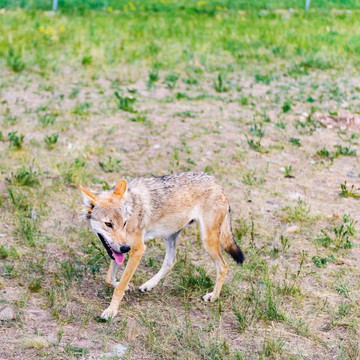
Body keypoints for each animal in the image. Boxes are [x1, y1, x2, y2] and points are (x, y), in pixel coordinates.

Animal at [81, 172, 245, 320]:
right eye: (108, 224)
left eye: (124, 223)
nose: (125, 249)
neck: (131, 207)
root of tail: (218, 184)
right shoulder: (119, 250)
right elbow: (109, 279)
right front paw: (125, 286)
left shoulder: (138, 250)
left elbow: (119, 287)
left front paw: (111, 311)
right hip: (170, 235)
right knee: (171, 262)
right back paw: (149, 284)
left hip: (207, 241)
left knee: (223, 266)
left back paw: (213, 296)